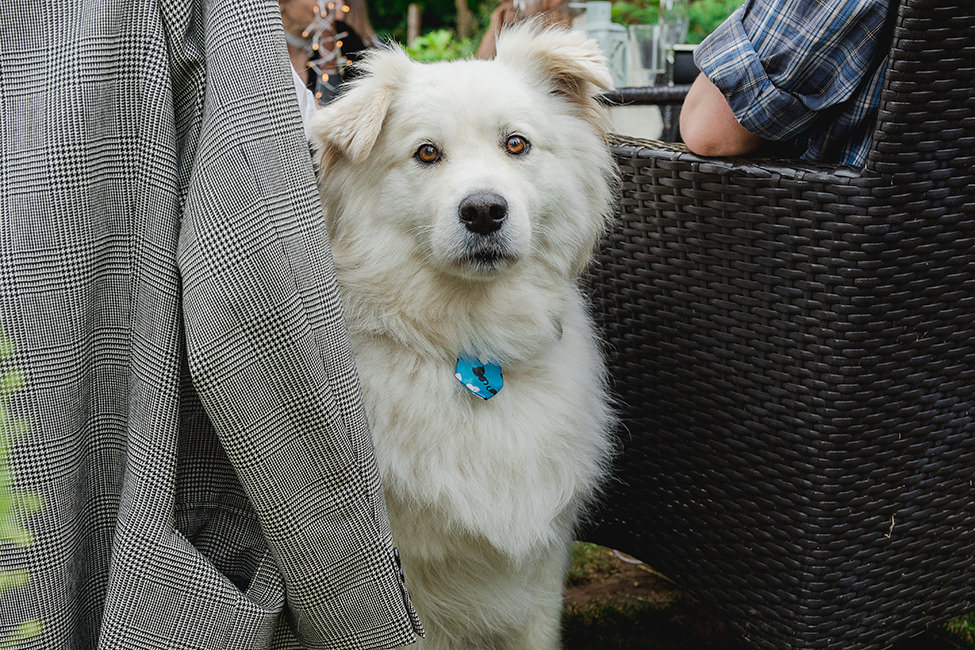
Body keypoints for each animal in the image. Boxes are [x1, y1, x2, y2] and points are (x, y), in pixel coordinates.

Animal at [308, 24, 616, 648]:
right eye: (427, 152)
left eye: (516, 144)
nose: (483, 210)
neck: (472, 347)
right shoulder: (402, 587)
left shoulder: (536, 581)